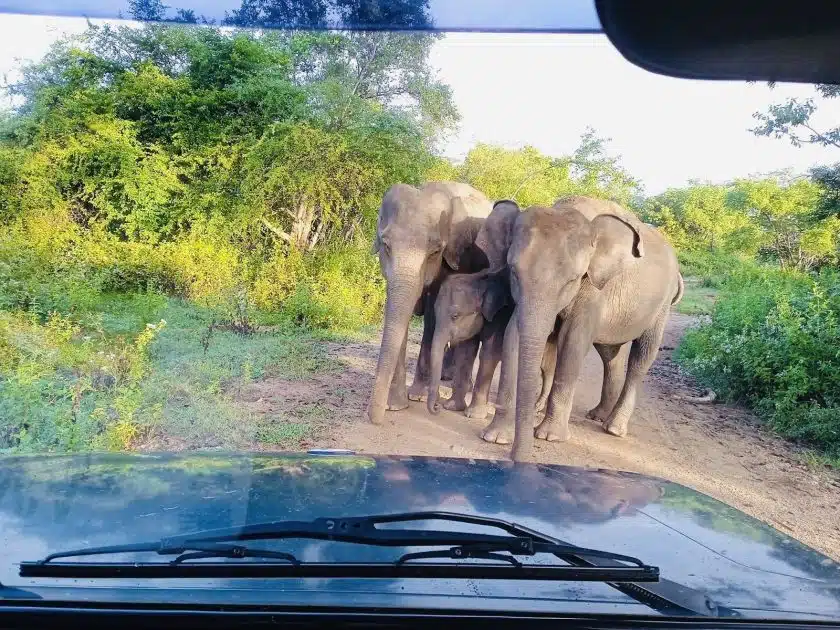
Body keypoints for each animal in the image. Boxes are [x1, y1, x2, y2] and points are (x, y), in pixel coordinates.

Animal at [367, 181, 493, 426]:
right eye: (386, 246)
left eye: (434, 252)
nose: (375, 419)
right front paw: (395, 406)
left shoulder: (453, 257)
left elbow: (433, 312)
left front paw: (415, 396)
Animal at [481, 199, 682, 462]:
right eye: (513, 272)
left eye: (572, 280)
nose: (518, 457)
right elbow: (512, 335)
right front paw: (495, 437)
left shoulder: (594, 288)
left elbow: (572, 341)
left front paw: (549, 436)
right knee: (611, 356)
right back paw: (597, 415)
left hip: (662, 306)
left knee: (642, 356)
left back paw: (613, 428)